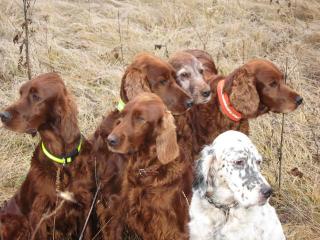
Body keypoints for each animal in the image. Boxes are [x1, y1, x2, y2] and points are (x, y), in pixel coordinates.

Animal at [0, 73, 94, 240]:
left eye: (36, 96)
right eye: (21, 93)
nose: (2, 115)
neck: (60, 161)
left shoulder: (85, 205)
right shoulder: (39, 213)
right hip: (17, 222)